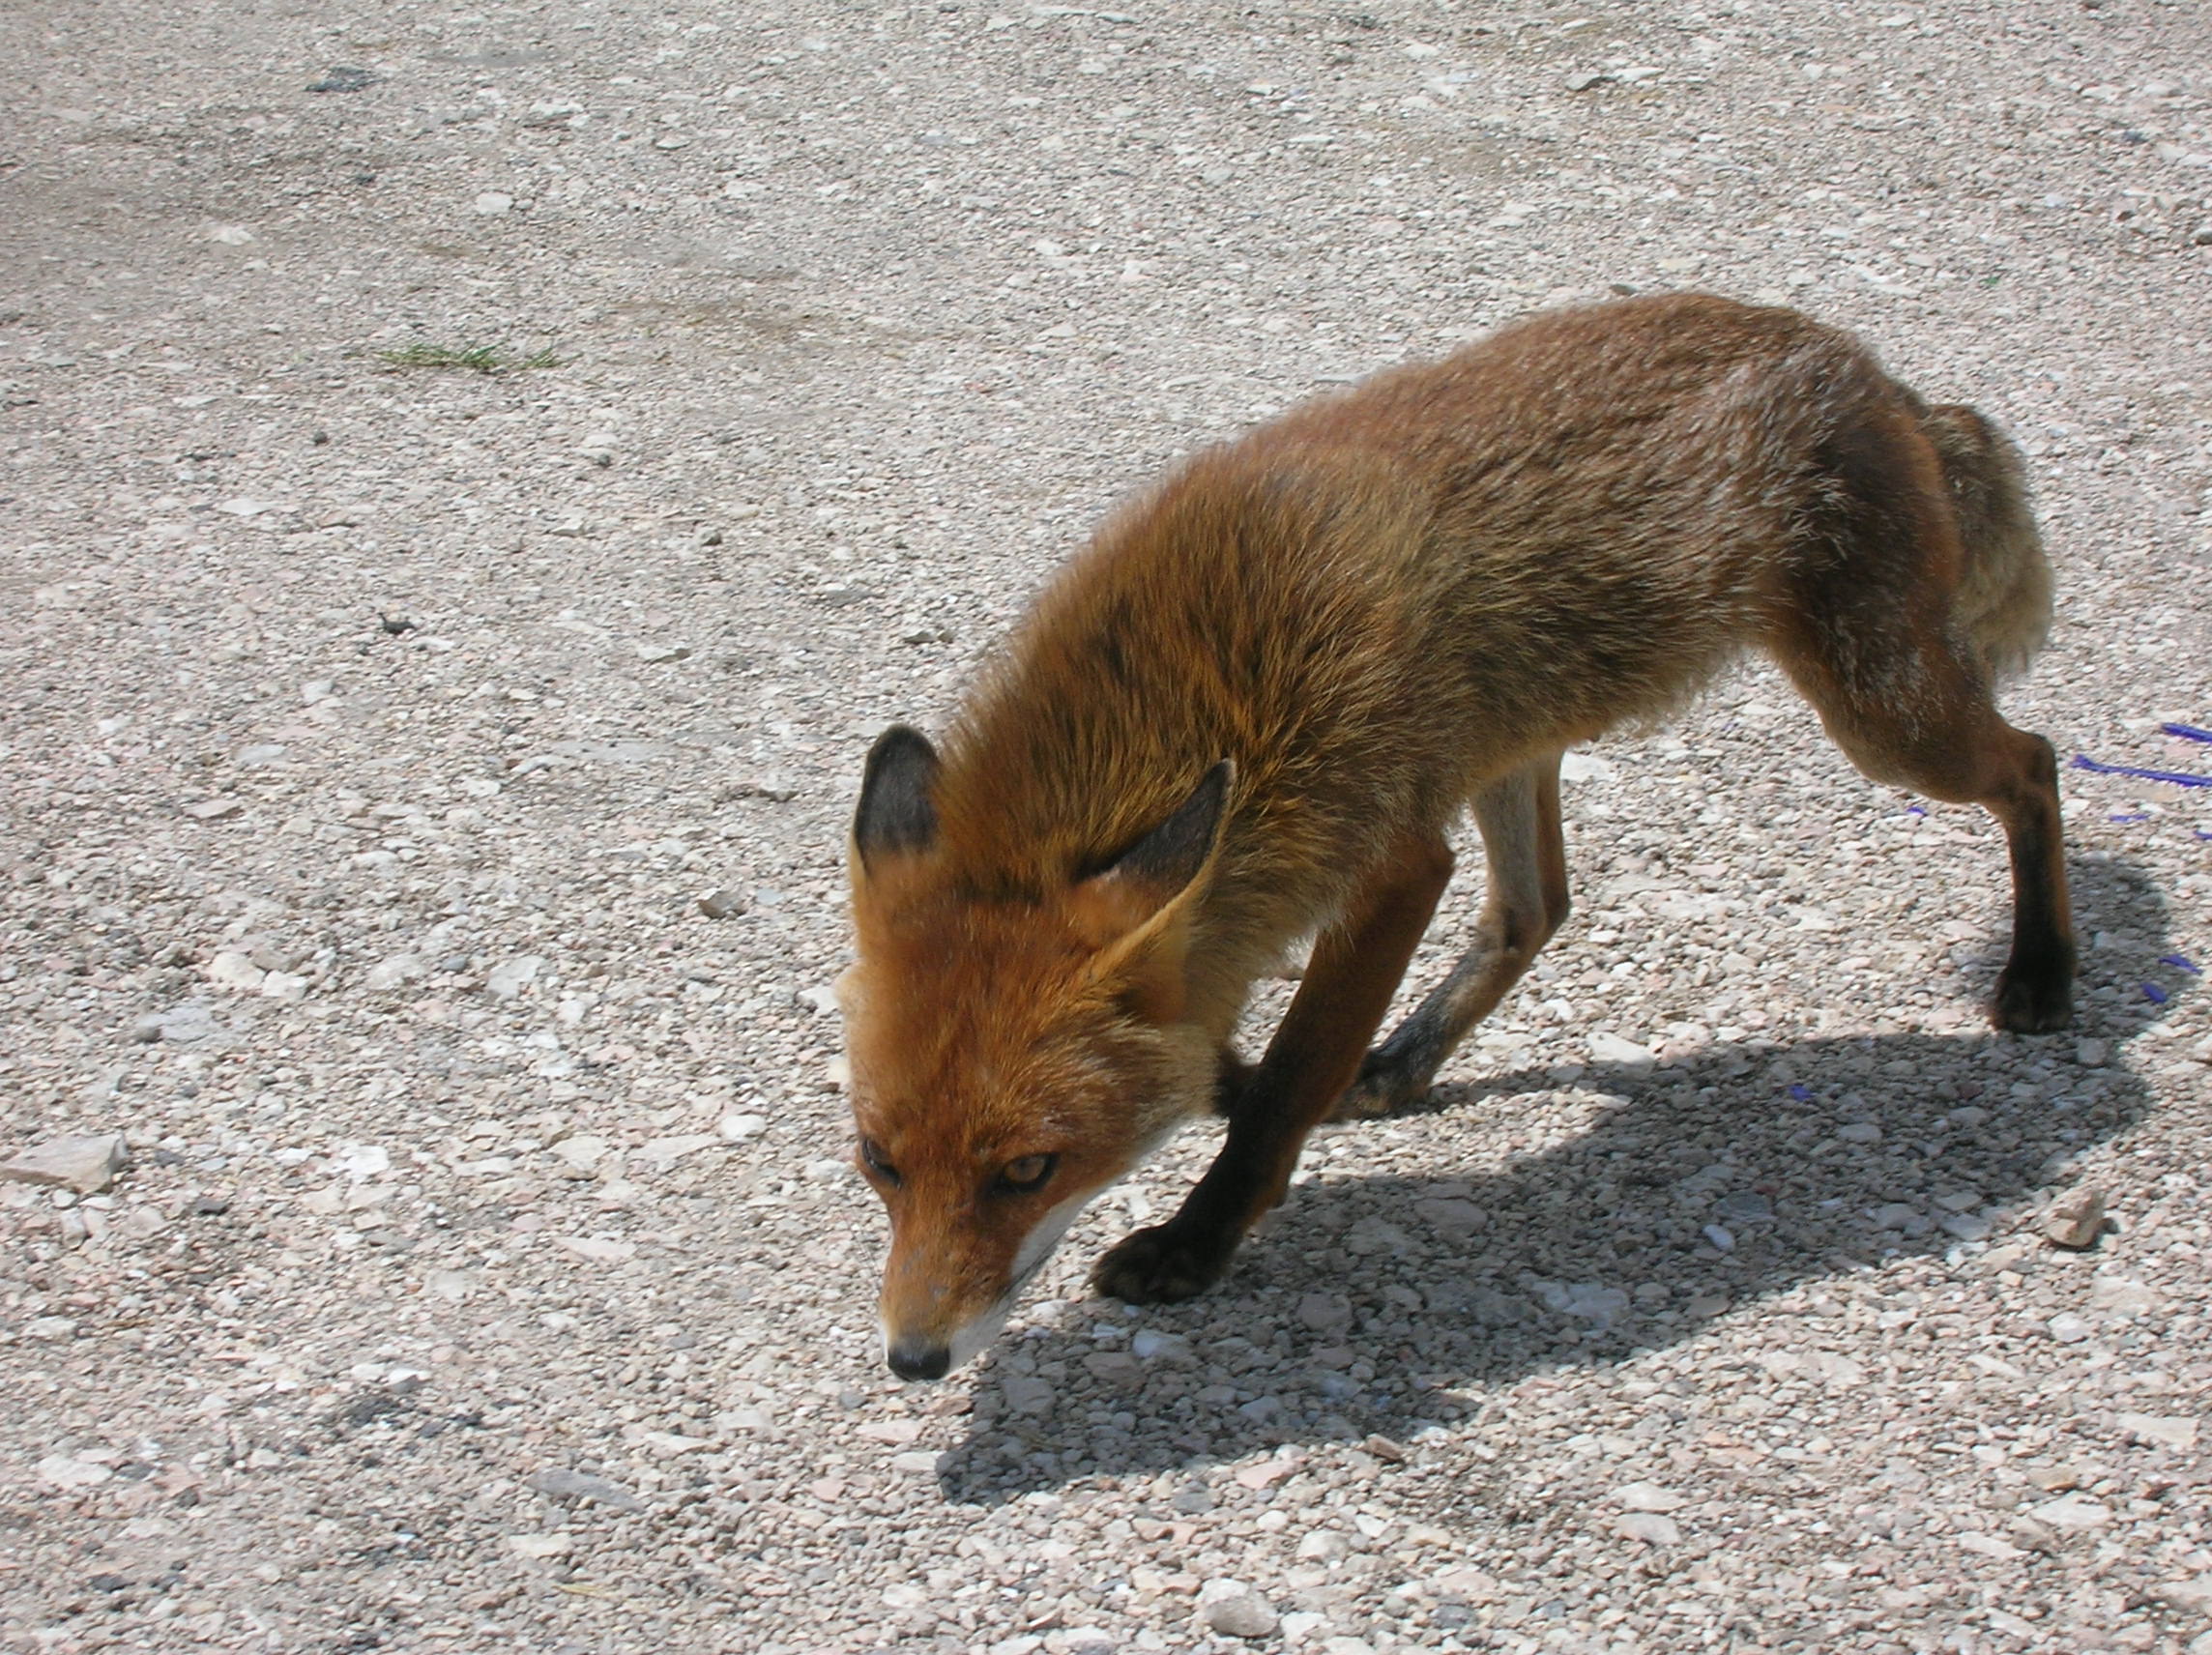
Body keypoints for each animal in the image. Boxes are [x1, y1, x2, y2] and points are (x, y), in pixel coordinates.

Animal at [841, 292, 2073, 1382]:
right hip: (1509, 746)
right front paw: (1234, 1087)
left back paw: (2042, 970)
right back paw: (1403, 1060)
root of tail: (1866, 366)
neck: (1214, 683)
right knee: (1537, 908)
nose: (913, 1358)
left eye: (1027, 1168)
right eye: (877, 1159)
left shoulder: (1390, 860)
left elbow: (1286, 1081)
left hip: (1882, 714)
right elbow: (1250, 1053)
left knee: (2036, 764)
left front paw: (1197, 1238)